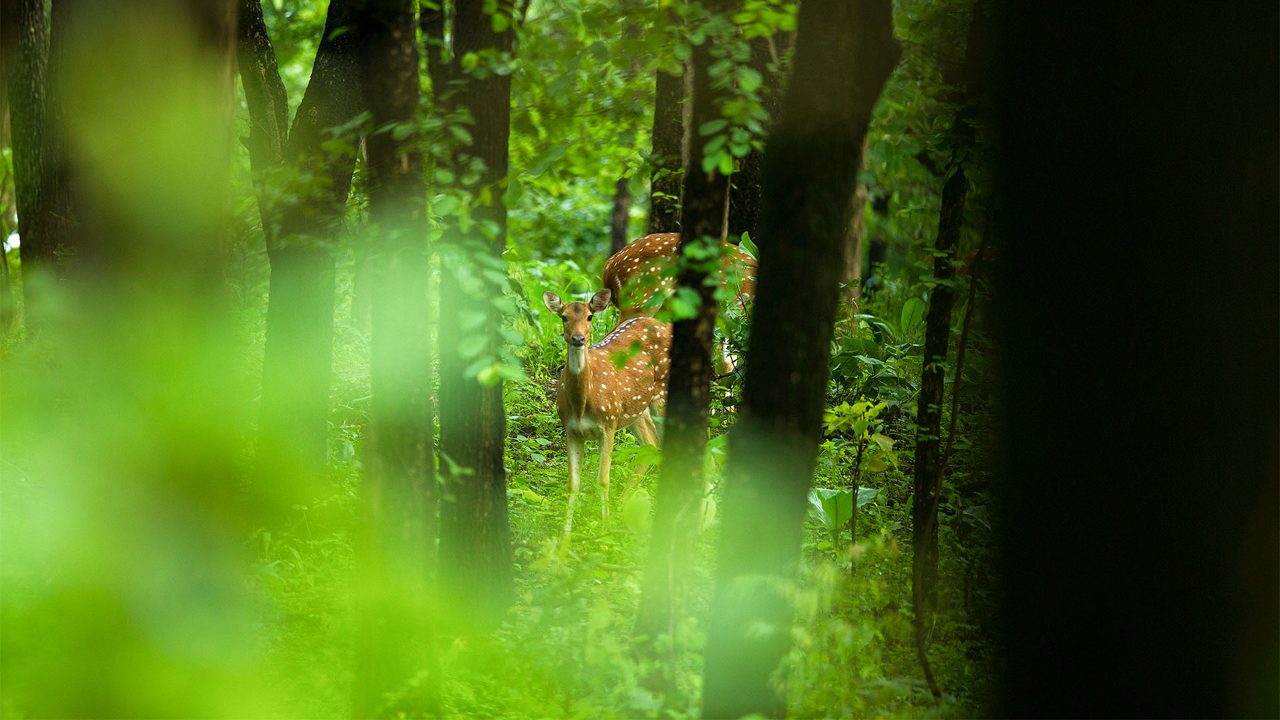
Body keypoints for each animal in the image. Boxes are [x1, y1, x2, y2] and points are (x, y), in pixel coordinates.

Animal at [545, 286, 675, 532]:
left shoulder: (608, 423)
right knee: (652, 442)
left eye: (589, 316)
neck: (582, 403)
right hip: (635, 407)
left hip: (661, 396)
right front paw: (565, 536)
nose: (578, 338)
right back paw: (623, 506)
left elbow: (603, 479)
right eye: (564, 317)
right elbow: (573, 483)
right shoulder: (571, 430)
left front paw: (604, 530)